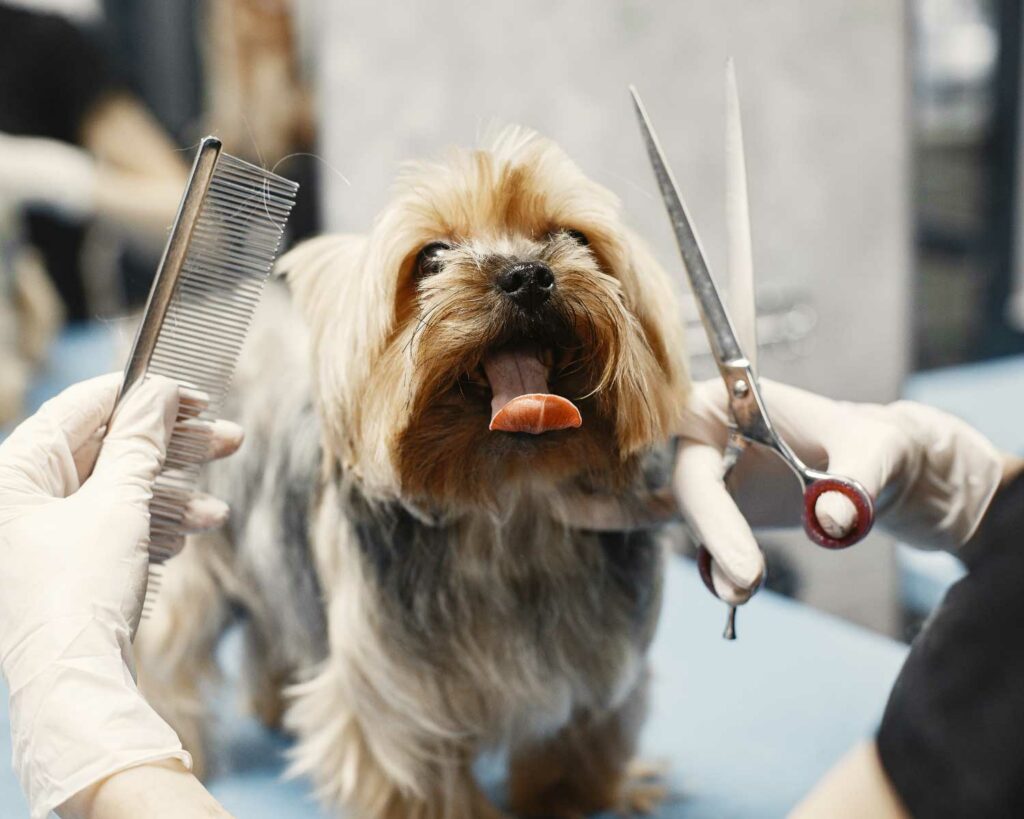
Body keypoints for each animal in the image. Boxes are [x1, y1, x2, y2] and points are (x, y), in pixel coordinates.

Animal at [136, 127, 692, 818]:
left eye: (574, 237)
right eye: (430, 256)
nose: (527, 275)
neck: (509, 503)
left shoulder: (602, 671)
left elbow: (577, 751)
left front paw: (576, 800)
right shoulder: (394, 699)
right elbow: (418, 779)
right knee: (169, 648)